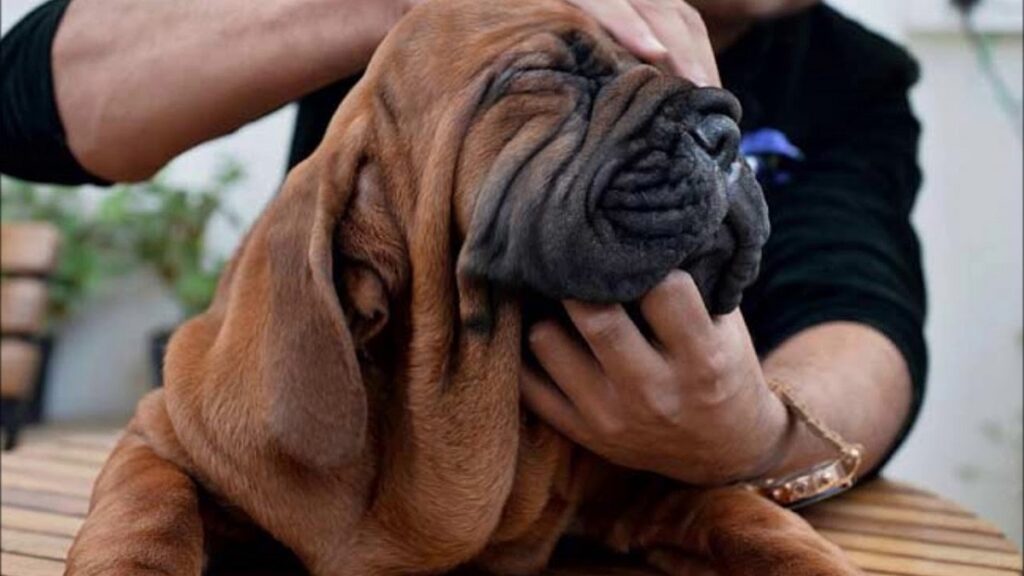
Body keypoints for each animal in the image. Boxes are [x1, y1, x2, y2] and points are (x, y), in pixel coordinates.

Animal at [64, 1, 864, 573]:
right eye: (541, 75)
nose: (725, 130)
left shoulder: (656, 477)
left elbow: (752, 519)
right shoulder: (160, 436)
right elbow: (144, 512)